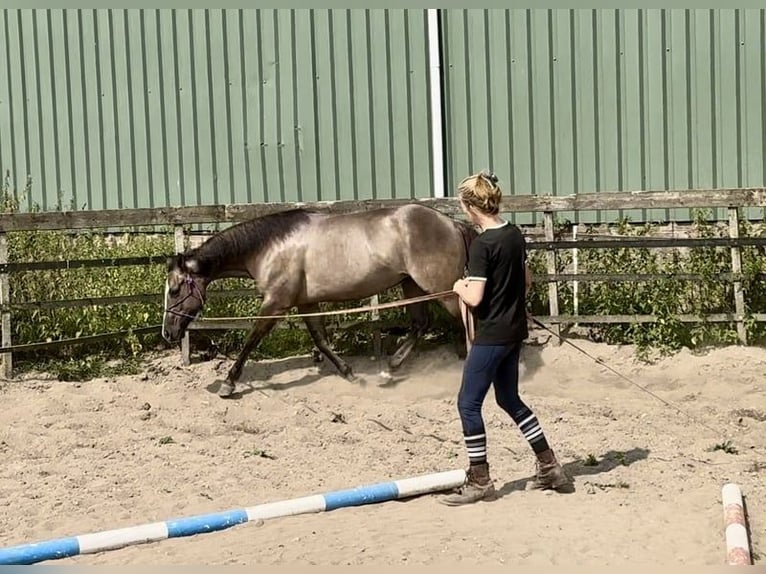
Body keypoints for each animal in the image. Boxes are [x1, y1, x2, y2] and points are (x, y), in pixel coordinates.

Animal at [163, 204, 480, 400]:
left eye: (175, 290)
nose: (168, 333)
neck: (270, 247)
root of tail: (453, 224)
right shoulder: (306, 304)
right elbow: (321, 340)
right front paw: (351, 375)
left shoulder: (276, 303)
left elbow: (252, 338)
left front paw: (228, 384)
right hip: (413, 285)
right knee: (420, 324)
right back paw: (388, 371)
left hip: (442, 289)